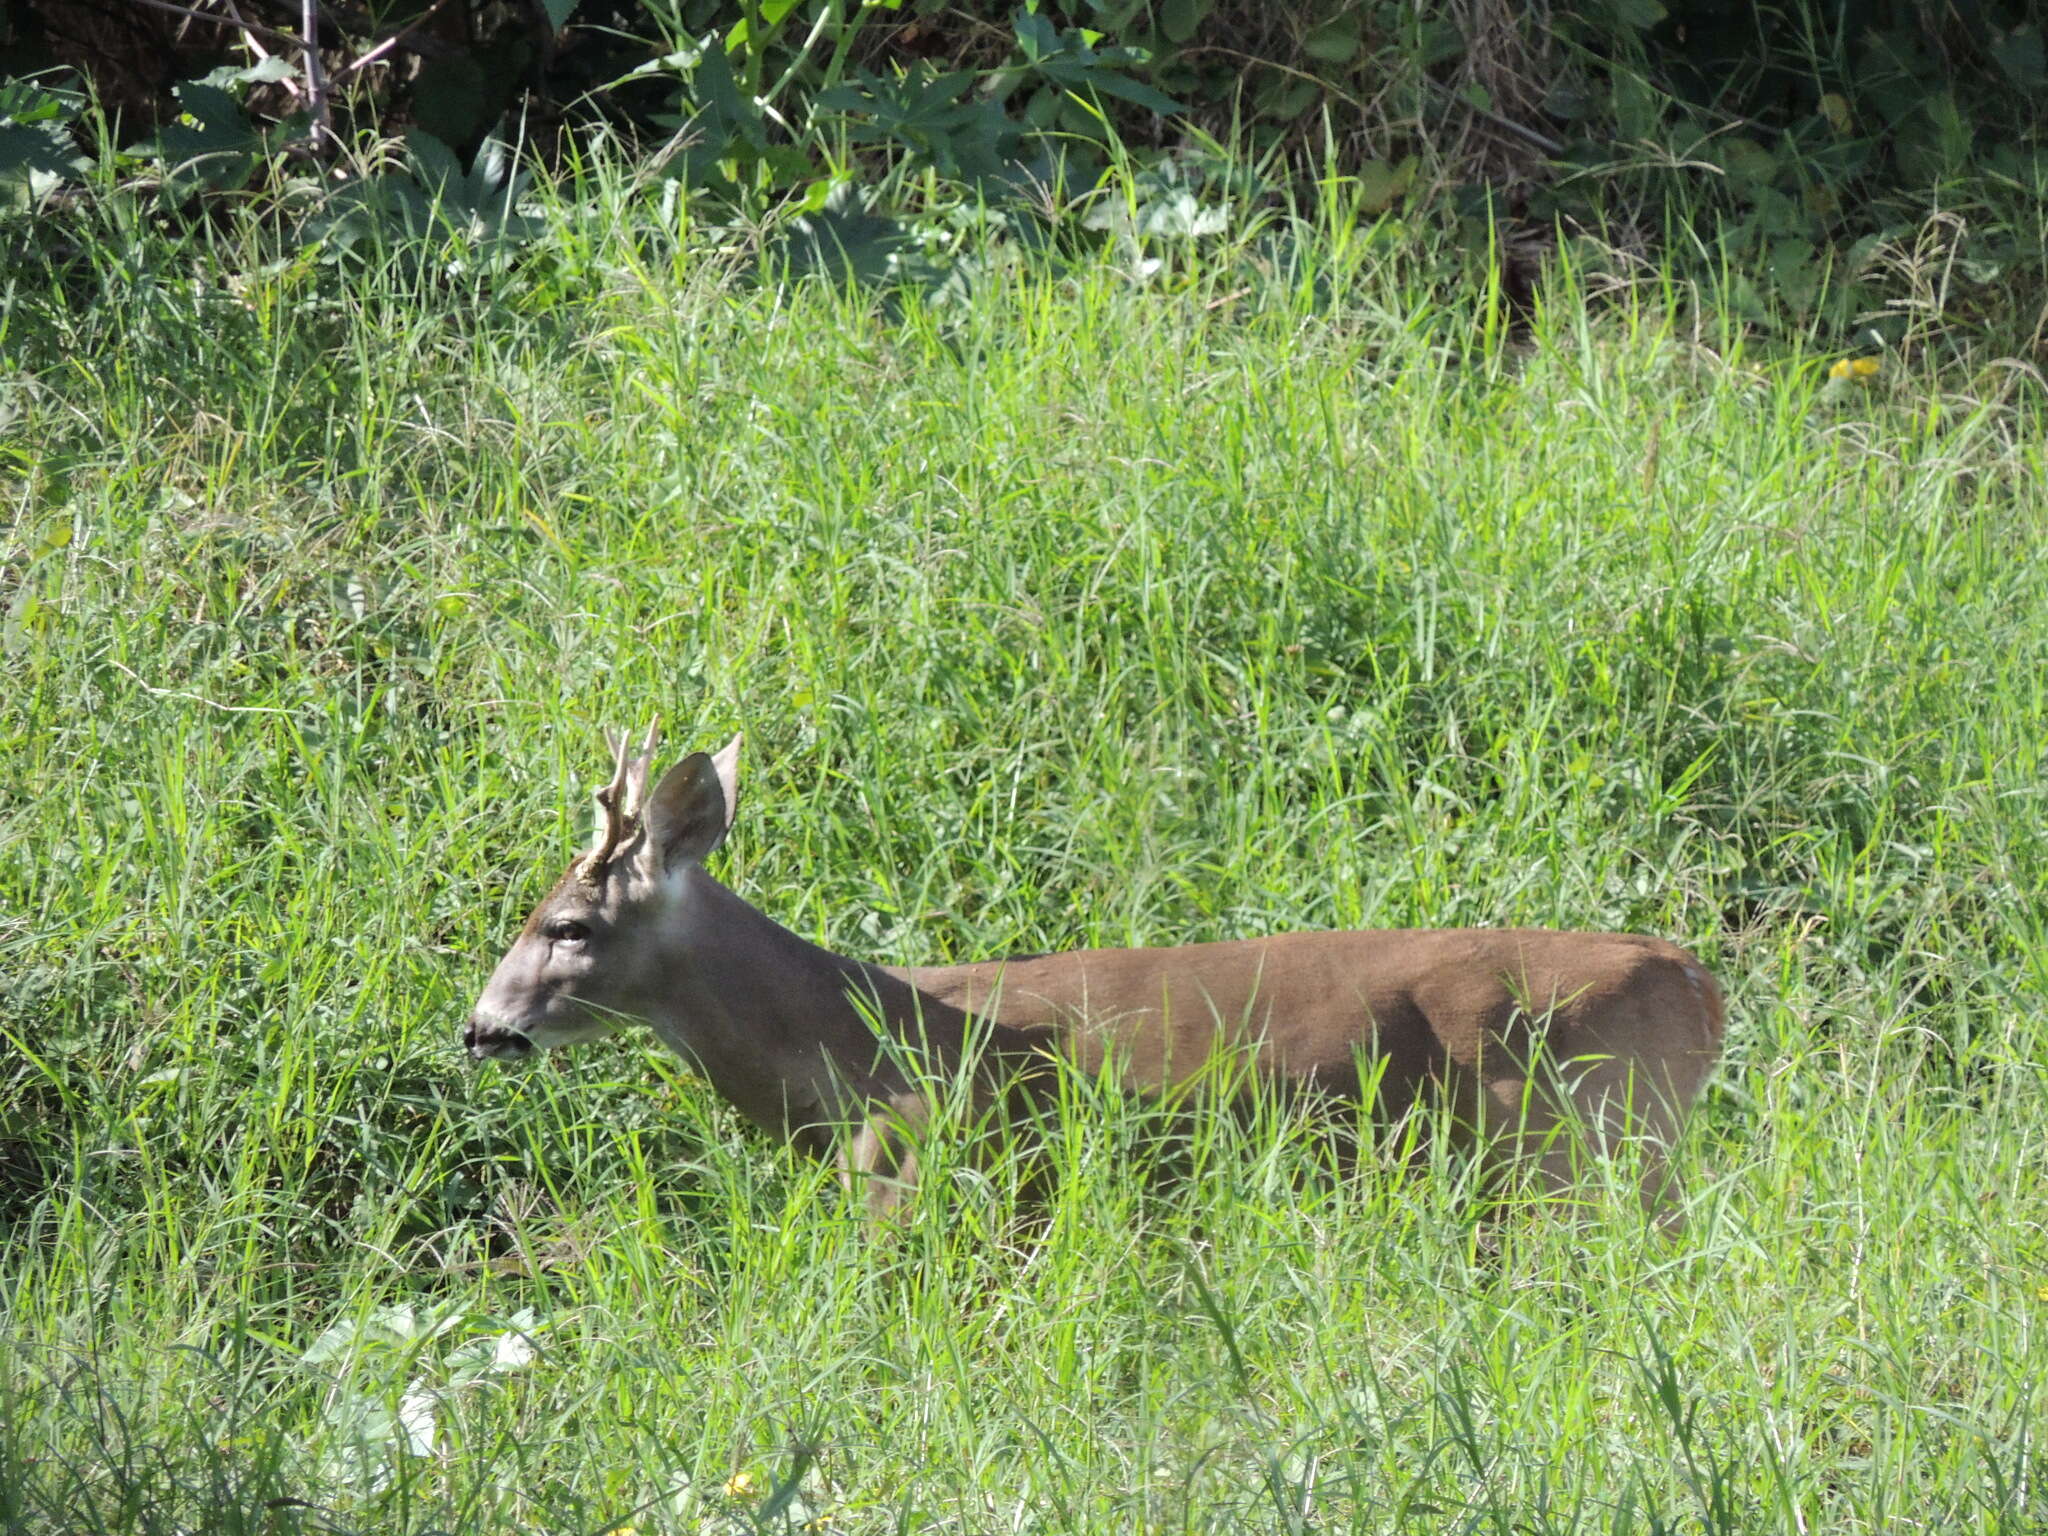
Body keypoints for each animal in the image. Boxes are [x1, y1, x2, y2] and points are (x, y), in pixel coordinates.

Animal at [468, 729, 1728, 1228]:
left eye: (566, 925)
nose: (481, 1028)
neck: (839, 1041)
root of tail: (1698, 981)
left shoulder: (920, 1169)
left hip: (1572, 1143)